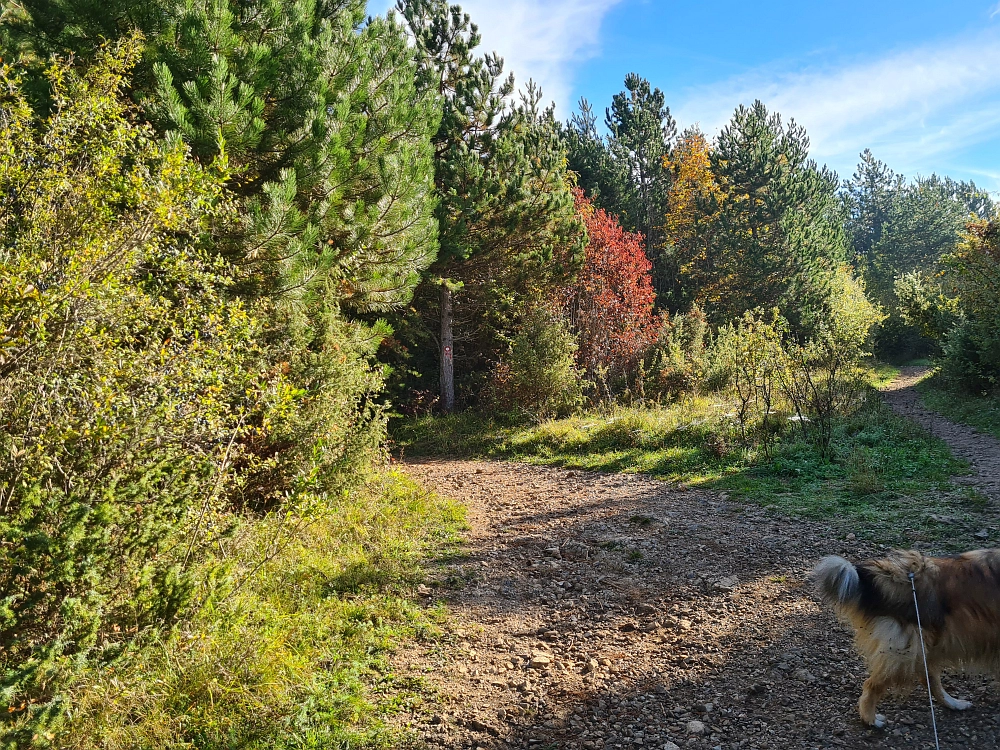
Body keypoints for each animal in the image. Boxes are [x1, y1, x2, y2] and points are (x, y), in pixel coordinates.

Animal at [812, 552, 1000, 728]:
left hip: (920, 648)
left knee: (928, 679)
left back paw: (954, 704)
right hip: (905, 652)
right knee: (872, 685)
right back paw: (871, 720)